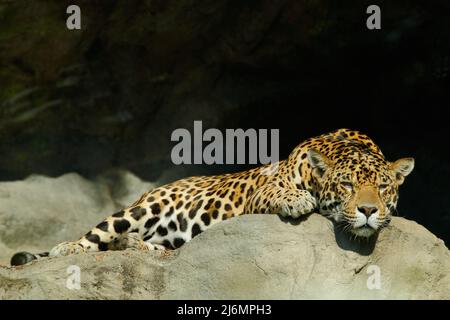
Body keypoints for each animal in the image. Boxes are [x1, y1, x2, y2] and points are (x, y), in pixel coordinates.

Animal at [9, 129, 414, 266]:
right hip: (143, 207)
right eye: (346, 185)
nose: (367, 210)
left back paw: (134, 245)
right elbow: (280, 190)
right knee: (100, 233)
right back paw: (68, 248)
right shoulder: (263, 186)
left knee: (154, 246)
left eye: (382, 187)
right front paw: (298, 200)